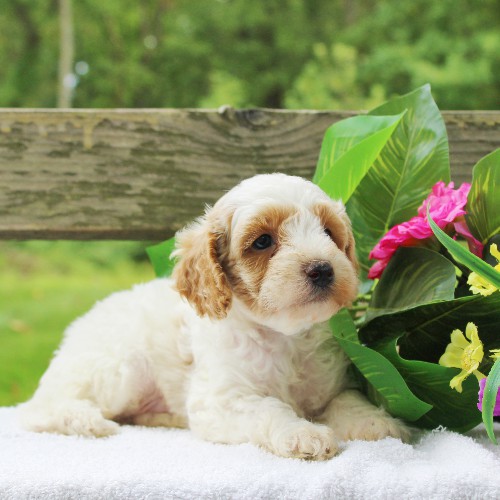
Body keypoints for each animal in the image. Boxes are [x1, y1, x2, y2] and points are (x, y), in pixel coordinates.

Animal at [20, 174, 410, 458]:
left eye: (329, 232)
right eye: (263, 241)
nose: (323, 269)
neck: (285, 336)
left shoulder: (335, 385)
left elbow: (349, 400)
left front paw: (376, 422)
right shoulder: (223, 399)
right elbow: (269, 409)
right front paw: (302, 433)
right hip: (120, 369)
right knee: (40, 407)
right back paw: (85, 421)